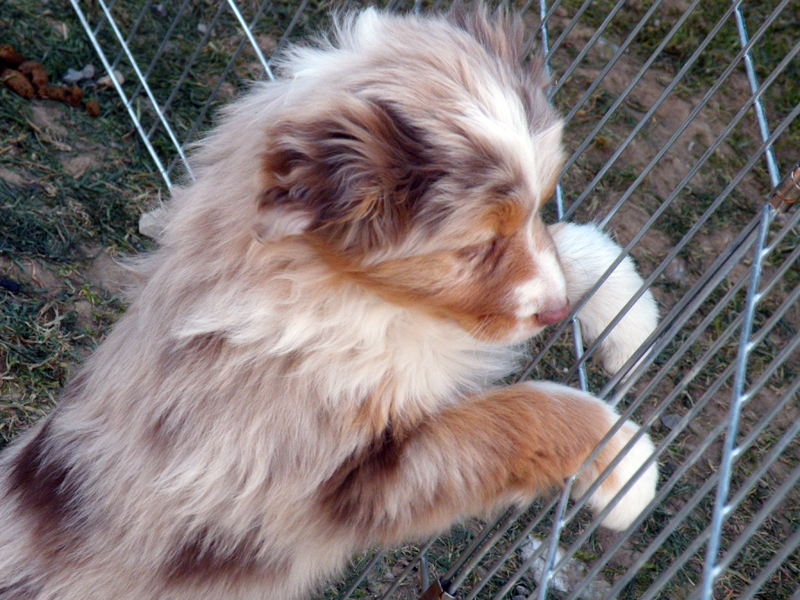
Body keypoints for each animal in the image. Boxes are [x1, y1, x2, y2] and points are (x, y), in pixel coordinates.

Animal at [0, 5, 659, 599]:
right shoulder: (345, 482)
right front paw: (626, 469)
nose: (553, 313)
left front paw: (630, 323)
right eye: (474, 247)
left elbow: (572, 248)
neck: (356, 297)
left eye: (540, 205)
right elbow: (519, 413)